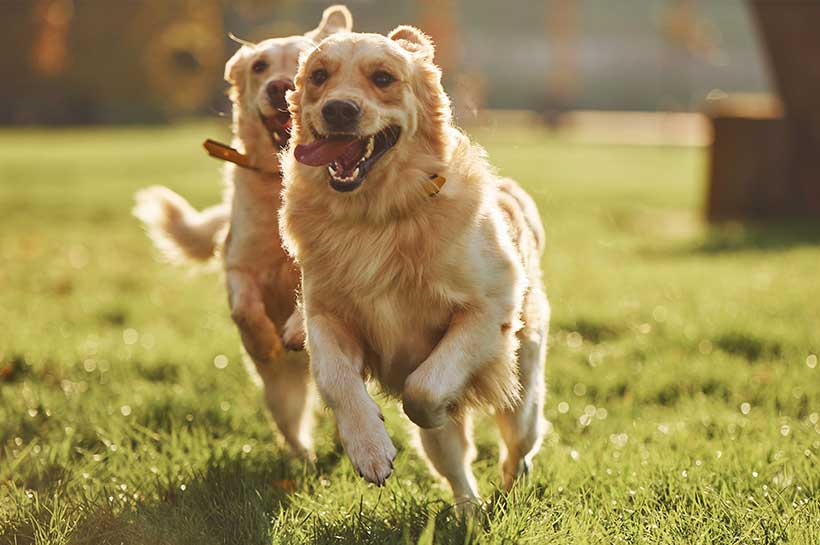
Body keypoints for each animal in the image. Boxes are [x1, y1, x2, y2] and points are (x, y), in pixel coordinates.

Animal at [134, 7, 352, 460]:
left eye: (306, 62)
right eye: (259, 66)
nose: (279, 87)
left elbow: (306, 296)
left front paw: (294, 329)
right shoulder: (239, 263)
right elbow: (244, 308)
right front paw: (266, 340)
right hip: (281, 391)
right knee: (292, 425)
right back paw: (304, 459)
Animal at [282, 26, 552, 502]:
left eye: (383, 78)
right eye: (318, 75)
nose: (339, 109)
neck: (376, 218)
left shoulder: (487, 309)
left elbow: (422, 390)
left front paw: (436, 407)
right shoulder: (326, 315)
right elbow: (336, 379)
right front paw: (369, 447)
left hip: (523, 388)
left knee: (520, 441)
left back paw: (510, 483)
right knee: (456, 469)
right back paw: (469, 509)